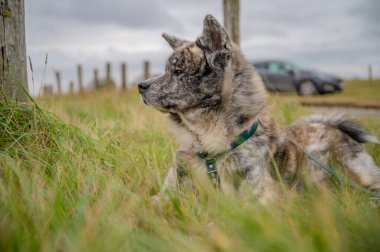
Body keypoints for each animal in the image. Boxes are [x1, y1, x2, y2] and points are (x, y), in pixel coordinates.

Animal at [139, 13, 380, 203]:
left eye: (177, 71)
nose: (141, 86)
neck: (207, 146)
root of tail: (333, 126)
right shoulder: (166, 194)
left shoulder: (259, 199)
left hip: (354, 173)